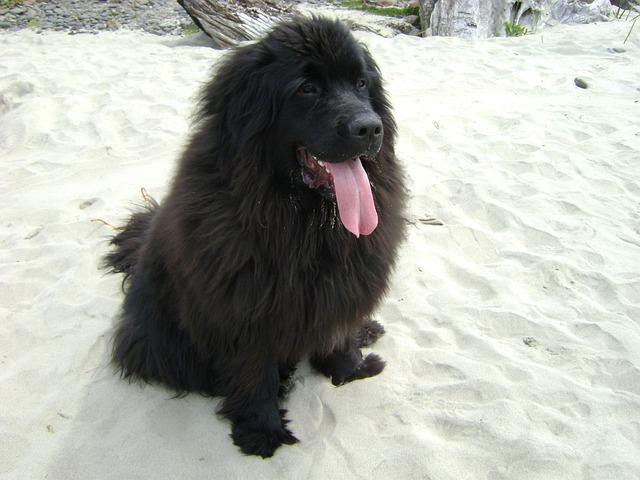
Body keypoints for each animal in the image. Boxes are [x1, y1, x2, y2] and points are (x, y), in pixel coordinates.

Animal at [105, 15, 404, 458]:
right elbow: (254, 370)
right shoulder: (246, 310)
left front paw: (351, 368)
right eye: (307, 88)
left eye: (362, 83)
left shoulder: (341, 284)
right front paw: (262, 430)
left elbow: (336, 332)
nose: (369, 127)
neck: (304, 222)